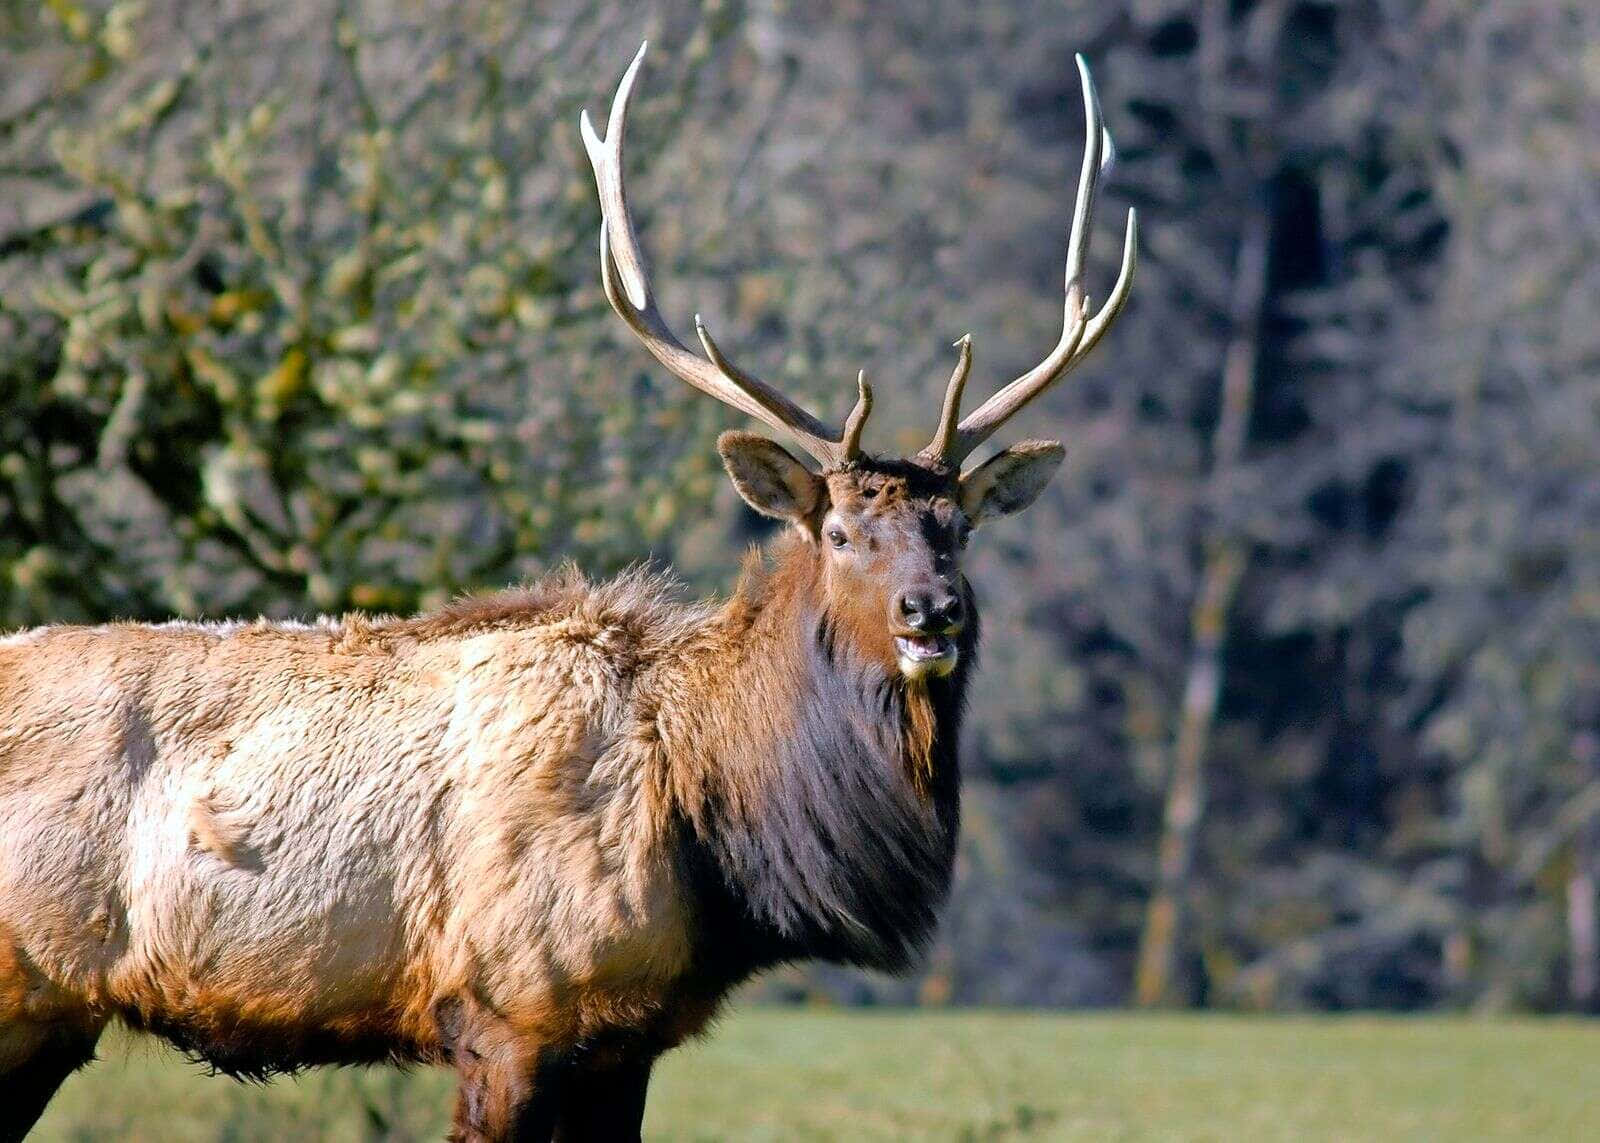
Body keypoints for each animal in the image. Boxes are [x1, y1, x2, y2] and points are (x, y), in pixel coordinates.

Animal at [0, 42, 1134, 1142]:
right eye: (843, 533)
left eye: (960, 530)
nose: (931, 613)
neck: (711, 840)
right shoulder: (509, 1008)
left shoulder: (624, 1043)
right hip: (25, 990)